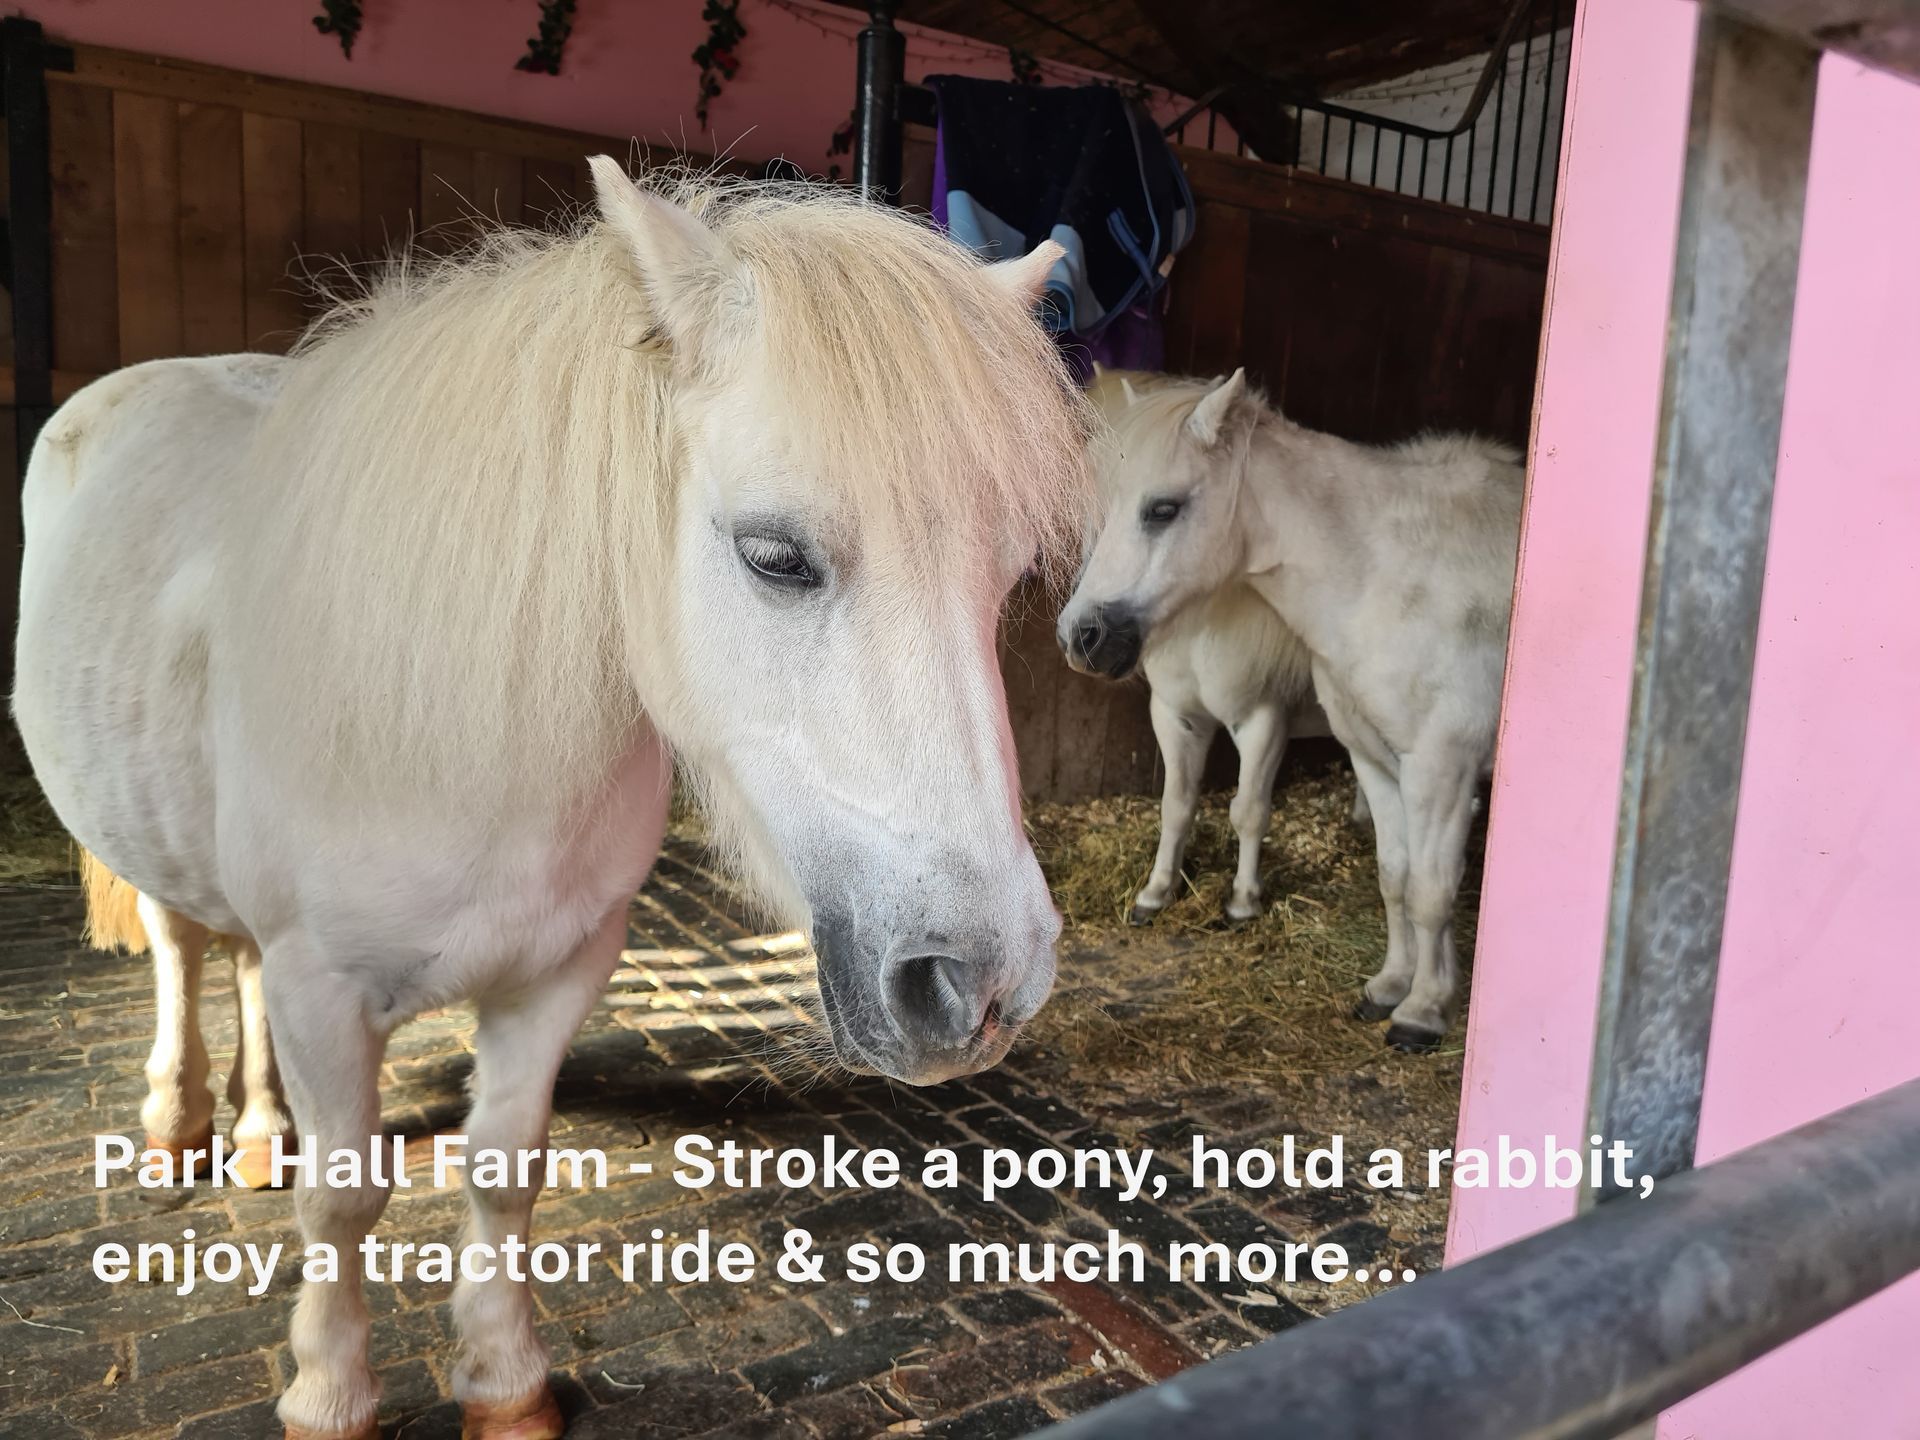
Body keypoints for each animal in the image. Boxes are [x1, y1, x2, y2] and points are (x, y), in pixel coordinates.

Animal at [13, 159, 1090, 1440]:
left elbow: (503, 1168)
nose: (981, 983)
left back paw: (261, 1132)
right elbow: (343, 1200)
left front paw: (505, 1379)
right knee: (184, 951)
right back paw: (179, 1130)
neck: (467, 747)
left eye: (1009, 575)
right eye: (775, 556)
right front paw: (328, 1389)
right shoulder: (327, 988)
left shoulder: (561, 972)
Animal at [1058, 367, 1521, 1050]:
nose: (1081, 637)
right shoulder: (1372, 759)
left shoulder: (1436, 768)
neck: (1387, 580)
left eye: (1163, 509)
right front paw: (1389, 987)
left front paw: (1423, 1010)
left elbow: (1430, 890)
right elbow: (1395, 876)